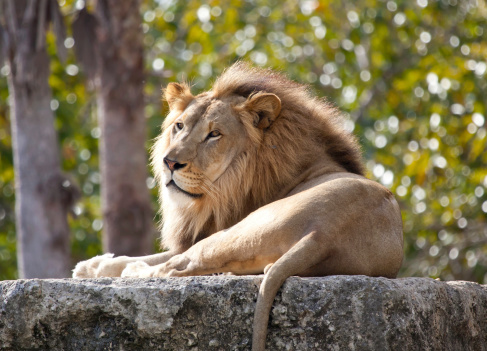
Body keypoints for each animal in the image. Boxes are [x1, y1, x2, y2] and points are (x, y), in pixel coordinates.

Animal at [74, 62, 404, 350]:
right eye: (179, 126)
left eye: (214, 134)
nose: (169, 162)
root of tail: (323, 235)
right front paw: (91, 266)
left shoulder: (212, 229)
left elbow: (161, 258)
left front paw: (99, 267)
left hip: (238, 230)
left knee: (175, 269)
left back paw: (134, 272)